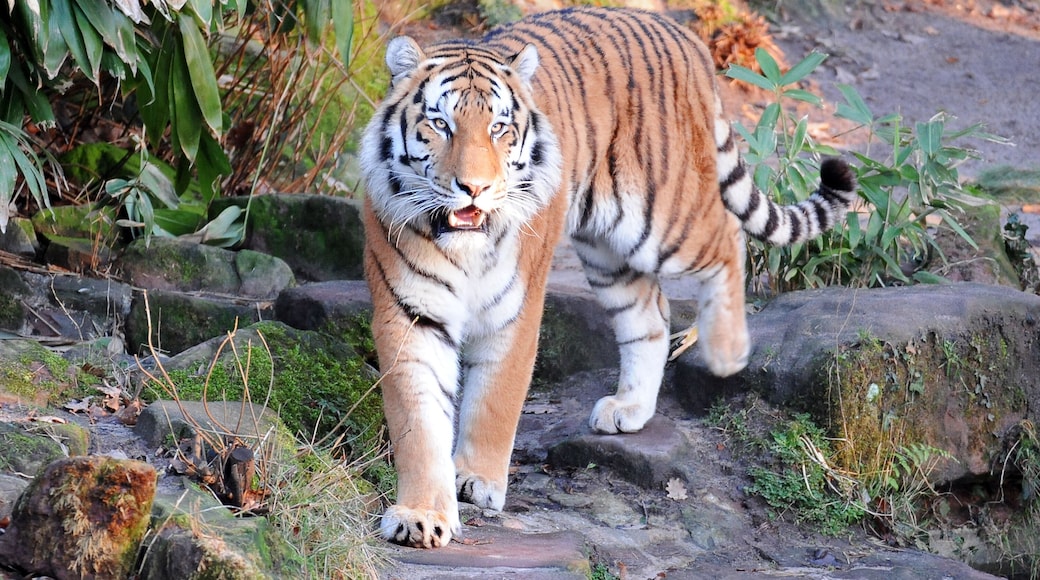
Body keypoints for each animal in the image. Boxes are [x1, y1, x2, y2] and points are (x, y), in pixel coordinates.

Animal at [360, 6, 856, 548]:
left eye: (499, 127)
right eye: (440, 124)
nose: (475, 188)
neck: (464, 247)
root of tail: (682, 35)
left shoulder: (516, 311)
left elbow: (496, 399)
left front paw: (476, 479)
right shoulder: (410, 314)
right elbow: (418, 421)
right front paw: (422, 515)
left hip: (664, 217)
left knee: (728, 237)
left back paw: (727, 354)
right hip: (607, 250)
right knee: (653, 315)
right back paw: (630, 408)